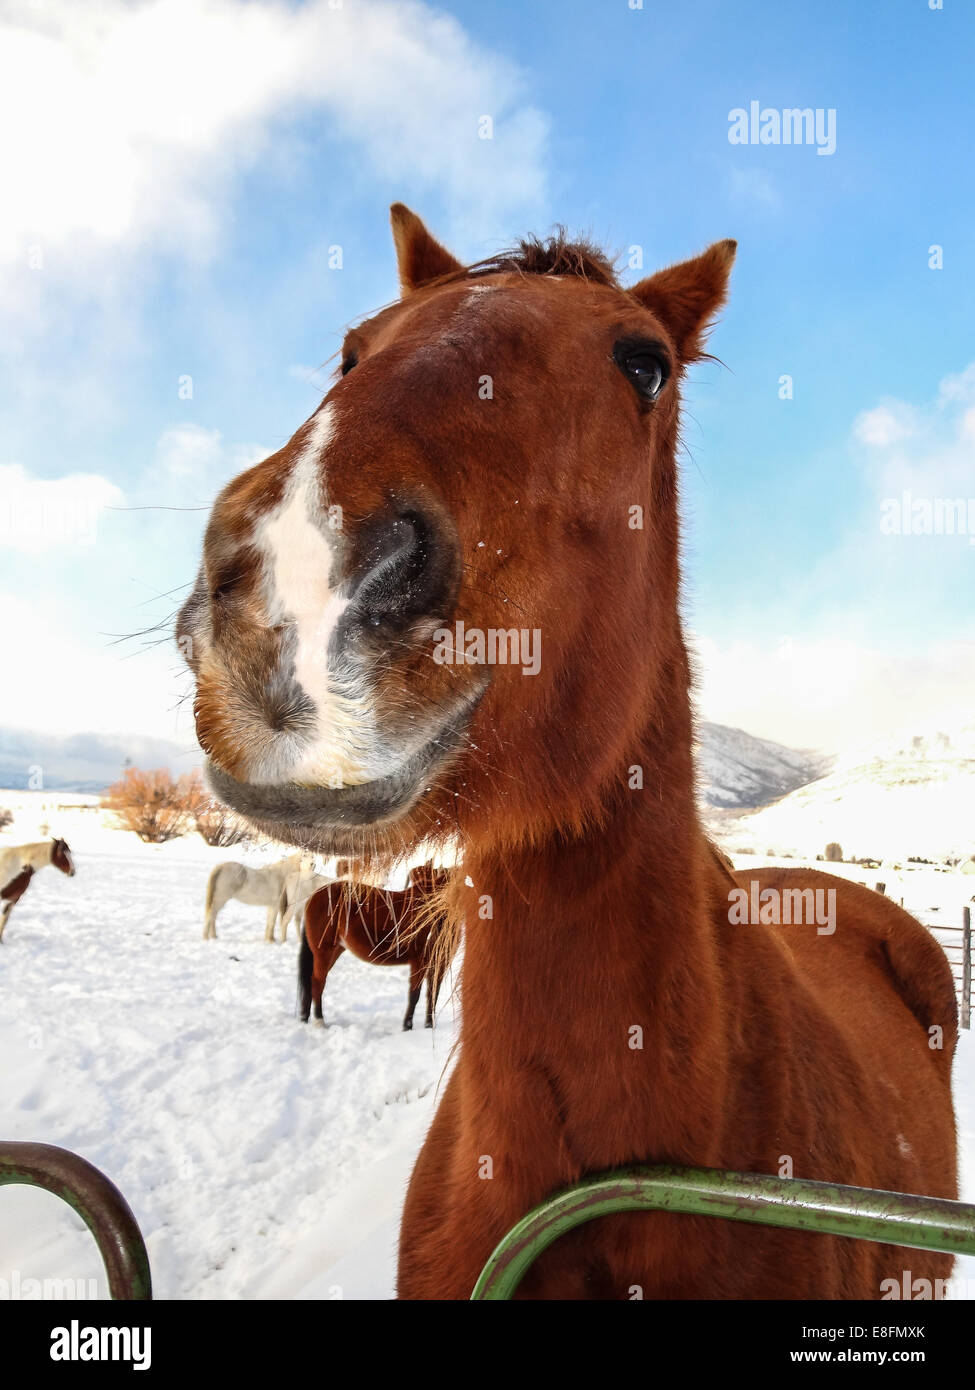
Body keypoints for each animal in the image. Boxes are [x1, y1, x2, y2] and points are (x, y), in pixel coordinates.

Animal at [296, 856, 453, 1034]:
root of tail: (313, 897)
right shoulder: (418, 961)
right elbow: (414, 995)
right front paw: (407, 1027)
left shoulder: (434, 964)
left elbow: (431, 994)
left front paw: (427, 1026)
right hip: (323, 952)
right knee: (317, 982)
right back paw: (319, 1021)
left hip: (333, 951)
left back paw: (305, 1018)